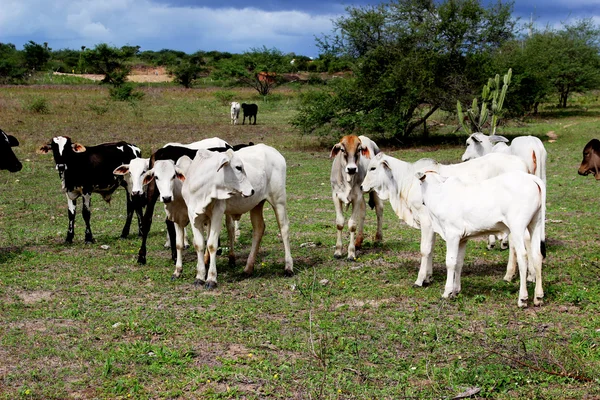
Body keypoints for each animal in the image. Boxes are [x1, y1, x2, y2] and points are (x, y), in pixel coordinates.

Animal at [183, 144, 296, 288]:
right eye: (238, 167)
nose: (252, 190)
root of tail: (272, 151)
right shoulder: (193, 214)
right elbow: (199, 244)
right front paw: (199, 277)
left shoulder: (217, 212)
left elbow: (212, 244)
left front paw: (211, 279)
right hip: (256, 204)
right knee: (259, 229)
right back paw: (248, 268)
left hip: (279, 200)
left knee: (284, 228)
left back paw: (288, 267)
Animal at [358, 152, 528, 286]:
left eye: (373, 168)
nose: (361, 187)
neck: (406, 182)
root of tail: (522, 164)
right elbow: (431, 248)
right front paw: (429, 277)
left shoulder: (425, 220)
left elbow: (425, 249)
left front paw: (420, 279)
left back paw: (512, 275)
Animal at [418, 170, 544, 308]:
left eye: (420, 183)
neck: (440, 195)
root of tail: (531, 178)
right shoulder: (462, 239)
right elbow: (459, 263)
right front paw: (456, 291)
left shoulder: (452, 235)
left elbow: (450, 262)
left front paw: (447, 292)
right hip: (535, 224)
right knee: (537, 256)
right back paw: (538, 297)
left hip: (517, 227)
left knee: (523, 256)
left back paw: (522, 298)